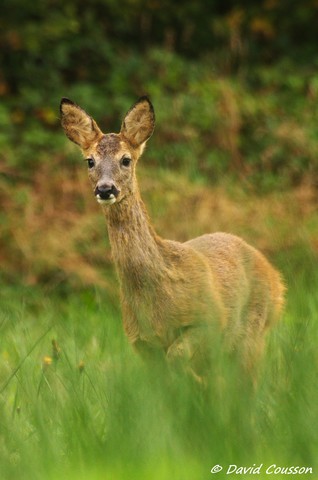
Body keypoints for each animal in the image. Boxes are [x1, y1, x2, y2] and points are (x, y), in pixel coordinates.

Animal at [59, 96, 286, 382]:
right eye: (90, 161)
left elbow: (177, 360)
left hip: (254, 328)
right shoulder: (141, 341)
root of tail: (276, 278)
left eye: (126, 160)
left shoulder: (209, 320)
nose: (105, 189)